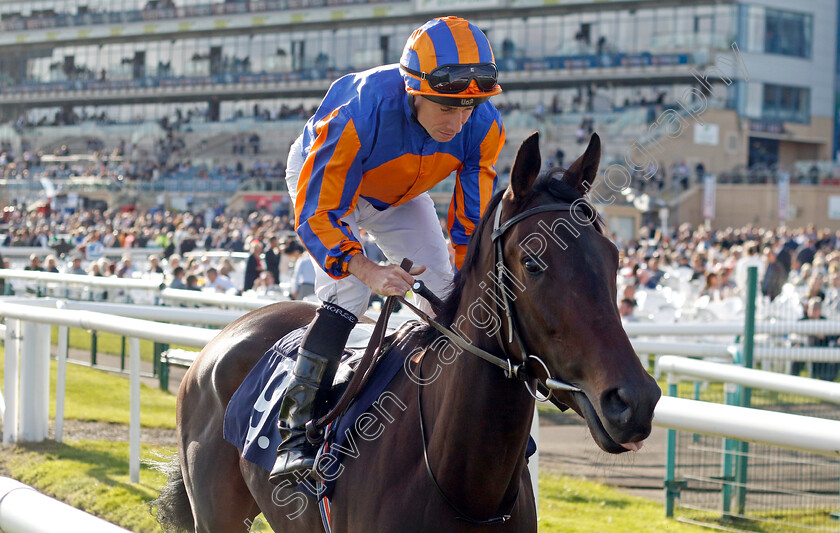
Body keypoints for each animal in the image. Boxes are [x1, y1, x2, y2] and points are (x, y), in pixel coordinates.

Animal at [153, 131, 664, 528]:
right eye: (535, 262)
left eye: (614, 258)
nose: (635, 400)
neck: (463, 483)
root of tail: (225, 335)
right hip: (217, 513)